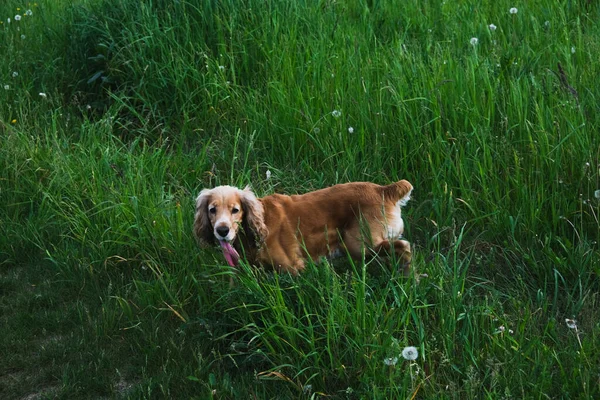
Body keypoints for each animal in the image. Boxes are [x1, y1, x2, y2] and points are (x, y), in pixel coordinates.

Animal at [195, 180, 414, 276]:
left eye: (235, 210)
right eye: (212, 210)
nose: (222, 231)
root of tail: (384, 189)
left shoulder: (292, 267)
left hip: (359, 245)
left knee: (404, 245)